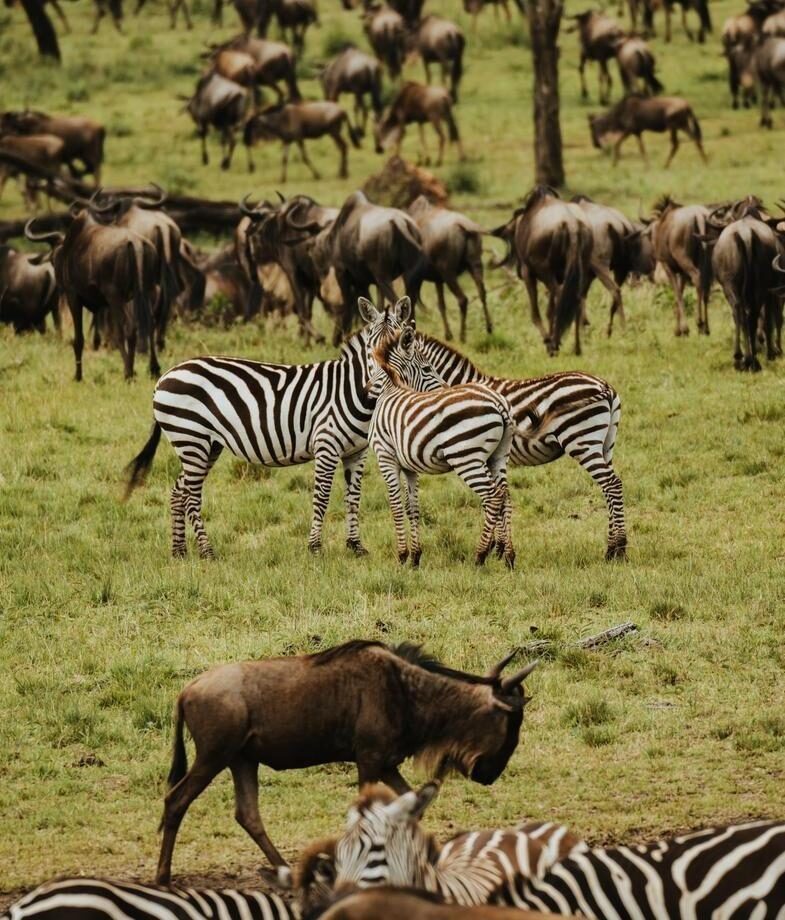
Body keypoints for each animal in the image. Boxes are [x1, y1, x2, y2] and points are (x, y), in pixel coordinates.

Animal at [123, 297, 409, 559]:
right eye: (370, 348)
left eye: (399, 346)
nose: (379, 384)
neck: (354, 392)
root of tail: (165, 376)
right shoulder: (326, 446)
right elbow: (322, 497)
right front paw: (315, 548)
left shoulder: (356, 452)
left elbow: (353, 498)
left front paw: (355, 546)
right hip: (191, 438)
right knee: (191, 496)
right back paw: (207, 551)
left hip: (205, 445)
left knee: (178, 492)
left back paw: (179, 551)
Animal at [367, 324, 533, 569]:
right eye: (428, 368)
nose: (367, 389)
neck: (390, 389)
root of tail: (498, 402)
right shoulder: (409, 466)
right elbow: (412, 508)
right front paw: (416, 558)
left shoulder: (385, 456)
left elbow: (396, 506)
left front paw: (402, 556)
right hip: (498, 456)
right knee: (505, 495)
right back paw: (510, 557)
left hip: (466, 457)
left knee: (492, 496)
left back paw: (480, 556)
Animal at [415, 333, 626, 560]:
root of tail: (604, 386)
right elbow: (498, 496)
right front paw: (498, 547)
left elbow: (493, 498)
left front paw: (495, 548)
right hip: (606, 445)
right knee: (610, 488)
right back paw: (613, 549)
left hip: (582, 441)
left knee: (611, 485)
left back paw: (617, 548)